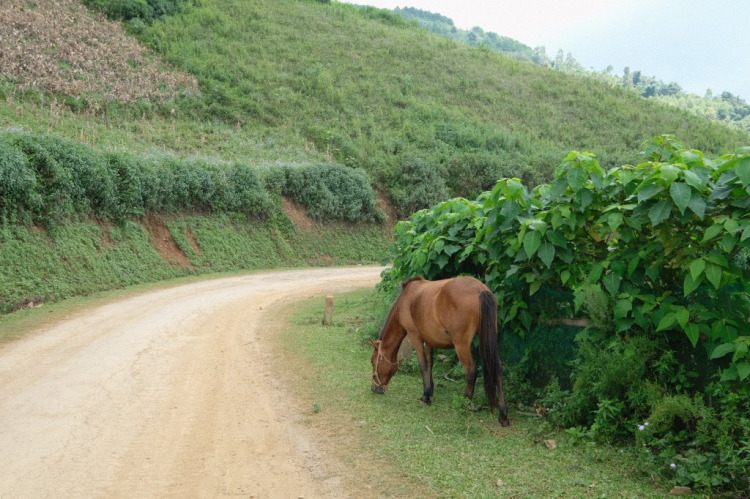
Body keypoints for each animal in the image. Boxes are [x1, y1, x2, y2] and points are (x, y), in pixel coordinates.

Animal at [370, 278, 512, 426]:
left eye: (372, 362)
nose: (374, 388)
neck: (405, 299)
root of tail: (480, 289)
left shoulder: (415, 337)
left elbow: (422, 365)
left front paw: (425, 397)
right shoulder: (429, 341)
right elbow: (429, 364)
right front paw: (430, 390)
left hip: (461, 345)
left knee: (471, 371)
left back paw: (464, 403)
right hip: (489, 340)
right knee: (498, 371)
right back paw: (503, 414)